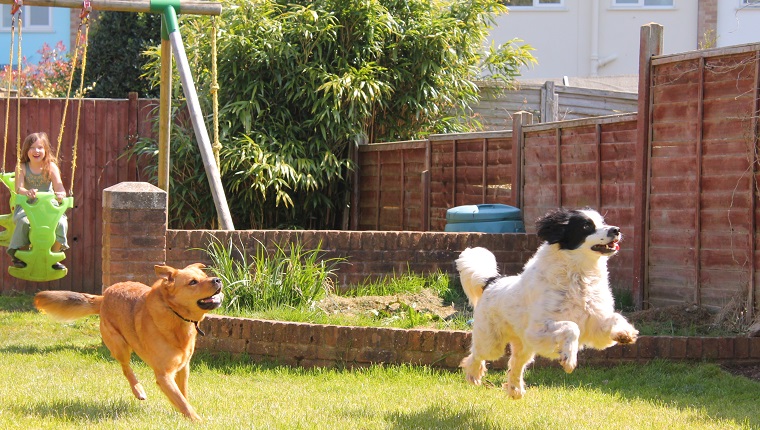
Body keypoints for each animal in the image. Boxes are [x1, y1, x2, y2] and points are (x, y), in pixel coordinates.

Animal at [34, 262, 224, 420]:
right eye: (193, 282)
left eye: (205, 275)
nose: (218, 280)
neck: (175, 314)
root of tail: (104, 296)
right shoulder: (164, 375)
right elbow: (182, 401)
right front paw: (196, 420)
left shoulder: (183, 368)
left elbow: (183, 396)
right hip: (120, 346)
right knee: (126, 369)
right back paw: (138, 390)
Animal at [458, 208, 636, 400]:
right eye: (586, 226)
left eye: (602, 222)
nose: (616, 230)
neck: (580, 276)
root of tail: (492, 281)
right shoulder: (539, 329)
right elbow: (571, 327)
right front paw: (569, 359)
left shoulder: (594, 325)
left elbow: (615, 318)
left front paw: (626, 333)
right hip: (492, 343)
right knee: (475, 355)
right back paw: (474, 374)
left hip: (524, 346)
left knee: (515, 364)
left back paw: (515, 389)